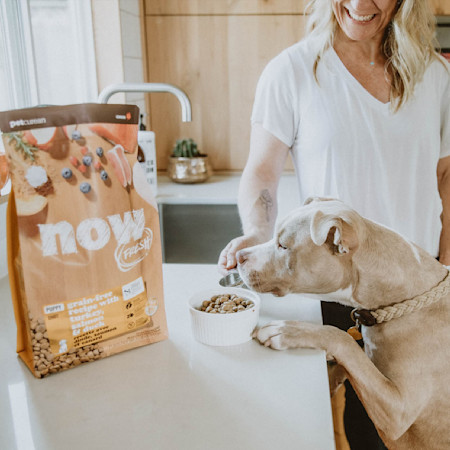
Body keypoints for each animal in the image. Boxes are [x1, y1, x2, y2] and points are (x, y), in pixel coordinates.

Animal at [236, 198, 450, 450]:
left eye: (283, 246)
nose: (239, 255)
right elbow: (354, 359)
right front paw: (331, 378)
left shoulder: (399, 412)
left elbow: (342, 338)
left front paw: (289, 330)